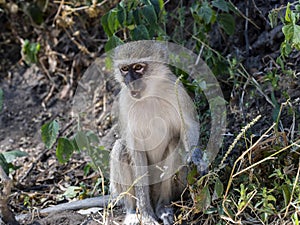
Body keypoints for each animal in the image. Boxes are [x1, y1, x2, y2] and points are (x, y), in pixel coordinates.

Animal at [110, 41, 206, 224]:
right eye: (124, 69)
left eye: (138, 67)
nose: (130, 81)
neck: (150, 94)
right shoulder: (125, 102)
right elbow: (135, 151)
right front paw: (146, 216)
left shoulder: (177, 91)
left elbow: (188, 126)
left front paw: (196, 155)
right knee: (121, 148)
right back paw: (133, 211)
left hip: (179, 185)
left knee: (175, 144)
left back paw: (163, 207)